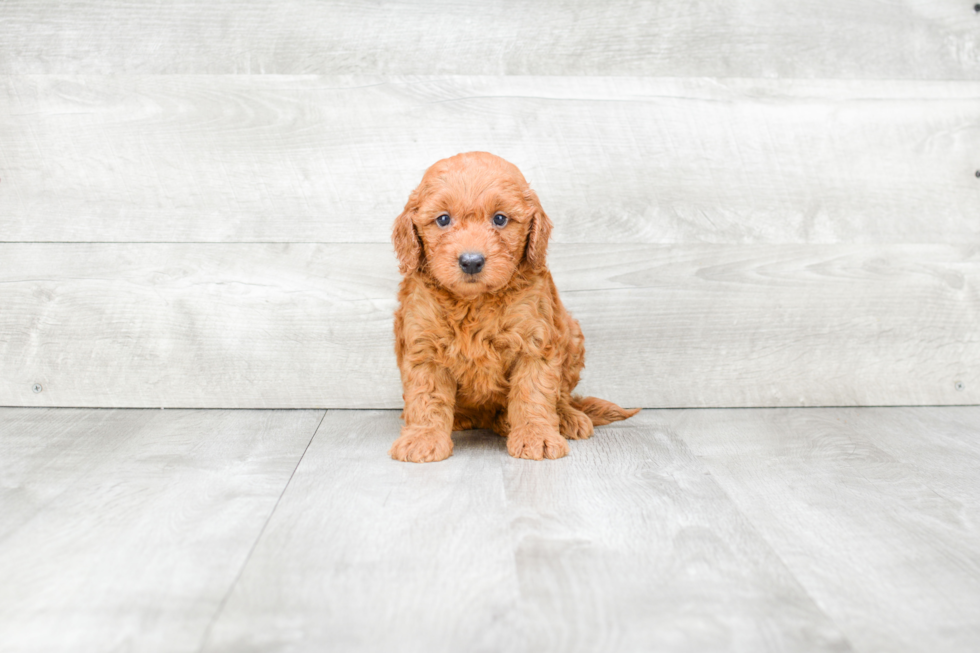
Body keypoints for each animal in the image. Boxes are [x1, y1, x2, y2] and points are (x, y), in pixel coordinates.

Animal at [390, 150, 644, 460]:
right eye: (443, 220)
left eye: (500, 219)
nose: (471, 261)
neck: (474, 302)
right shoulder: (423, 344)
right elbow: (427, 396)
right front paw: (423, 438)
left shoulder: (535, 342)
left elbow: (534, 393)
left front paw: (537, 436)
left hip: (571, 335)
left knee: (562, 396)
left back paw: (564, 418)